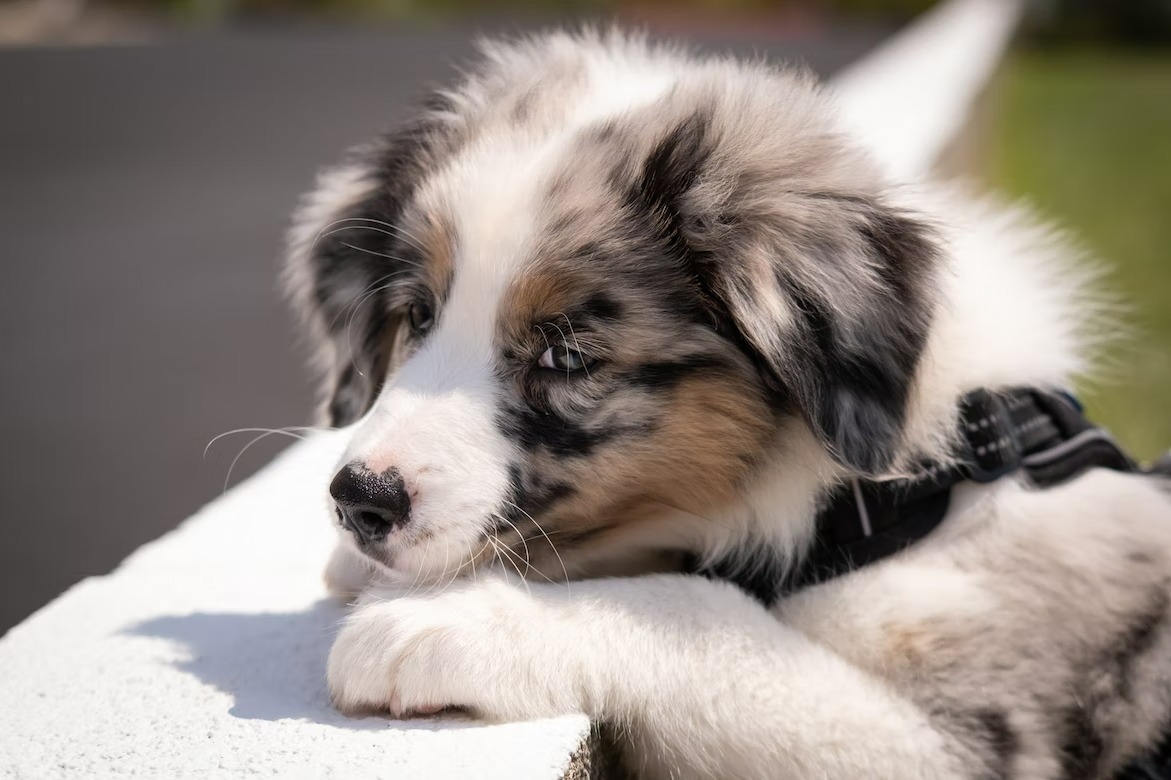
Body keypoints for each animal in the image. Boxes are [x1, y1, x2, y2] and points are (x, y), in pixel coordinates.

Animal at [281, 31, 1171, 777]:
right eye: (419, 316)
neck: (893, 494)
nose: (359, 501)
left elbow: (702, 612)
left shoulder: (966, 739)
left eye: (565, 355)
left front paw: (453, 623)